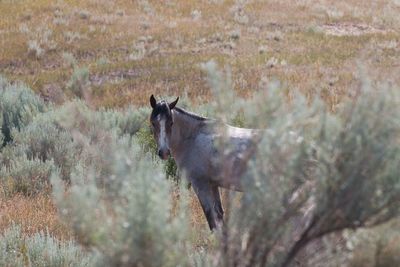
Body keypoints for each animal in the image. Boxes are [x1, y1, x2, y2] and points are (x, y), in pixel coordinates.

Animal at [148, 95, 260, 231]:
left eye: (171, 123)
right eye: (153, 123)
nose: (164, 152)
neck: (192, 138)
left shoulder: (200, 184)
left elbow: (212, 219)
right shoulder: (213, 185)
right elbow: (219, 216)